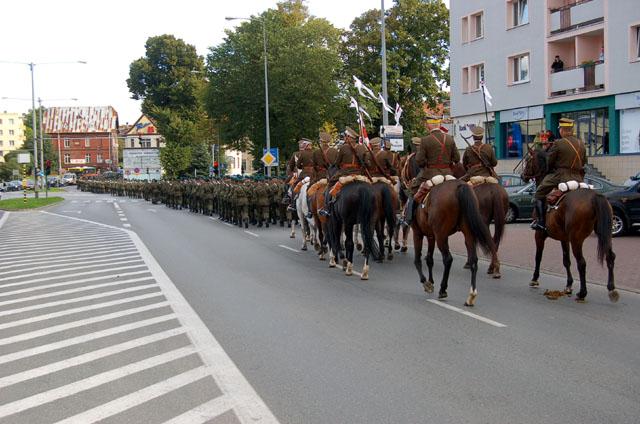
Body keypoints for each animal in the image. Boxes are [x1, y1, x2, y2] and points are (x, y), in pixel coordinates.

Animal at [524, 149, 616, 302]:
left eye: (528, 161)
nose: (522, 175)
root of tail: (594, 196)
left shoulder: (539, 235)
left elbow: (538, 257)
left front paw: (535, 279)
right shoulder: (564, 238)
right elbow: (566, 260)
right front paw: (568, 285)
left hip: (576, 239)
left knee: (582, 262)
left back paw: (582, 293)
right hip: (604, 234)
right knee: (610, 256)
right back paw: (611, 288)